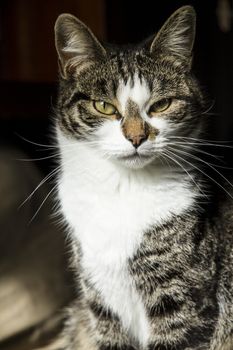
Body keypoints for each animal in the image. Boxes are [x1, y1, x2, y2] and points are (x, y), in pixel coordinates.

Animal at [51, 5, 233, 350]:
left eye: (161, 105)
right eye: (104, 106)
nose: (136, 137)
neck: (122, 190)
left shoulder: (183, 302)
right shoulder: (100, 303)